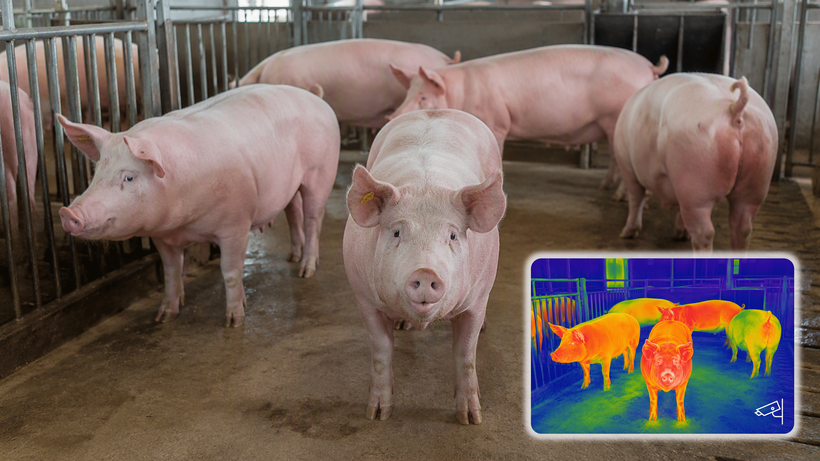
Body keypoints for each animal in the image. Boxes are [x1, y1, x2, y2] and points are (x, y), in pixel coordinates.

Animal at [57, 85, 340, 327]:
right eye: (96, 173)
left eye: (129, 177)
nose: (67, 212)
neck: (185, 222)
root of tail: (316, 98)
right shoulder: (161, 236)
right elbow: (171, 272)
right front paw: (164, 317)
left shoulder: (236, 224)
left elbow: (230, 271)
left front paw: (234, 321)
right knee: (293, 212)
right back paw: (292, 256)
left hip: (321, 173)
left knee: (313, 219)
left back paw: (306, 270)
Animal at [343, 109, 506, 425]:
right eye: (396, 232)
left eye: (452, 235)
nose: (426, 272)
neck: (424, 185)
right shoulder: (363, 298)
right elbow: (381, 352)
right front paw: (377, 414)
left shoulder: (476, 300)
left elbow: (466, 356)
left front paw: (471, 419)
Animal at [387, 44, 668, 185]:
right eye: (407, 93)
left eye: (424, 98)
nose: (391, 117)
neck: (463, 92)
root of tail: (648, 65)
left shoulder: (497, 123)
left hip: (613, 119)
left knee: (617, 157)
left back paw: (612, 190)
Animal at [614, 73, 778, 252]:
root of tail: (735, 108)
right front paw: (680, 235)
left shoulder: (626, 164)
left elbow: (636, 198)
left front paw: (626, 234)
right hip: (757, 183)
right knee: (743, 227)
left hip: (695, 185)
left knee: (705, 232)